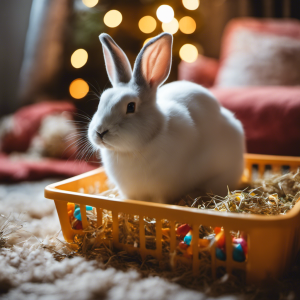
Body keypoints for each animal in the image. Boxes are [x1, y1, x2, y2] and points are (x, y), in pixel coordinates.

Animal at [88, 32, 245, 204]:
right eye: (101, 101)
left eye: (130, 106)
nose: (100, 132)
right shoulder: (130, 191)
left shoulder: (164, 189)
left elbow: (160, 201)